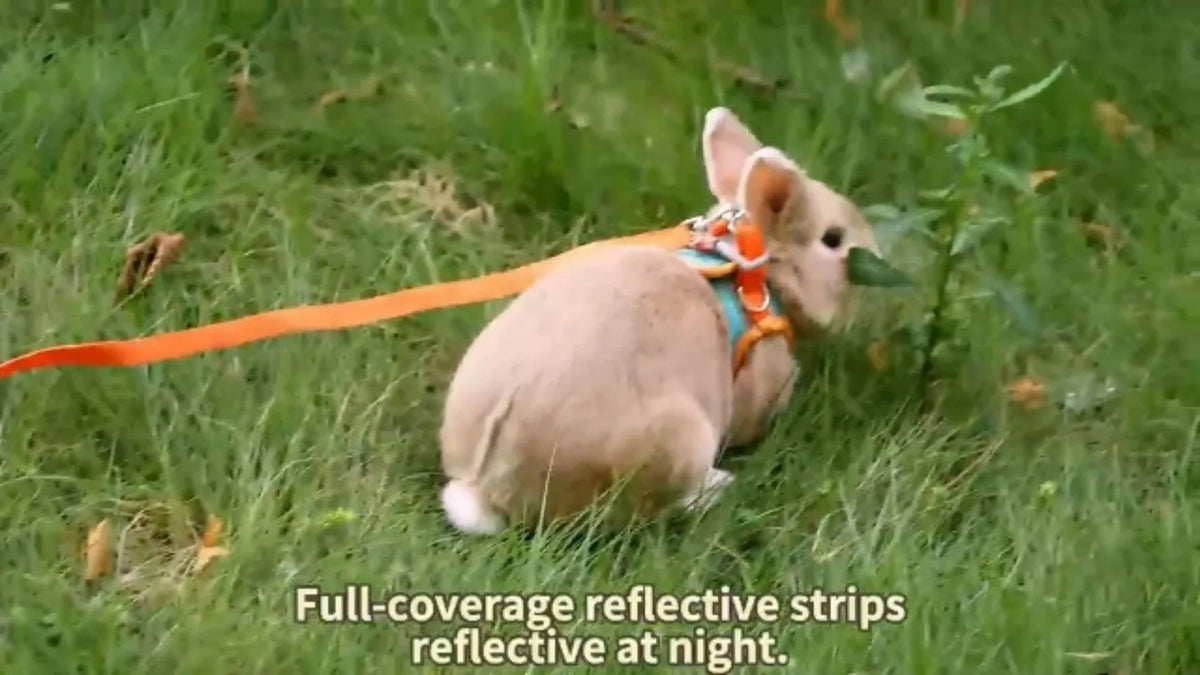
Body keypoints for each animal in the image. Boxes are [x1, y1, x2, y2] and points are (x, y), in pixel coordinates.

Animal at [437, 106, 880, 535]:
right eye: (833, 239)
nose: (874, 254)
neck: (751, 273)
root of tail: (483, 487)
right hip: (679, 443)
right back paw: (717, 487)